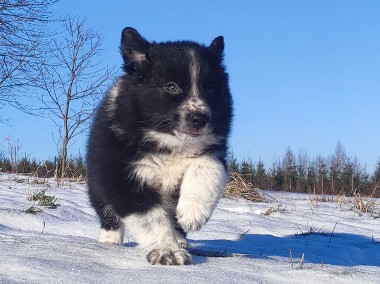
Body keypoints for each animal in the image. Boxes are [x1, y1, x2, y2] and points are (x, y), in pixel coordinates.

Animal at [86, 27, 233, 266]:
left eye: (211, 90)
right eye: (171, 87)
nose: (200, 118)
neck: (170, 143)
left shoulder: (215, 151)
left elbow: (206, 166)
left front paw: (192, 213)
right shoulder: (122, 176)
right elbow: (151, 218)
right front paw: (167, 250)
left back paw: (181, 237)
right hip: (97, 183)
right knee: (108, 214)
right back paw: (109, 241)